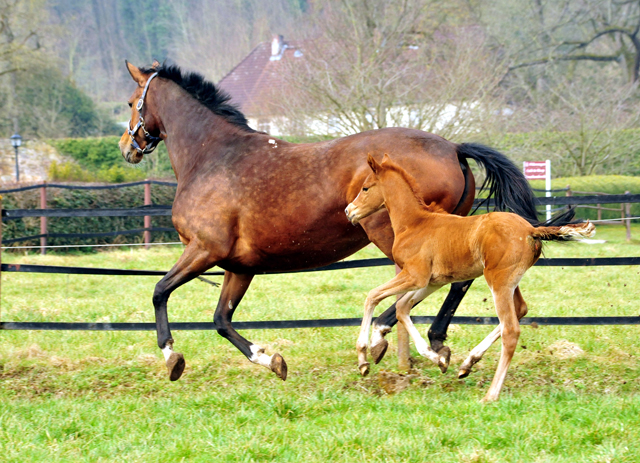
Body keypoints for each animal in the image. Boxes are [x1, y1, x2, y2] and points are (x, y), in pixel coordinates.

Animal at [344, 154, 596, 400]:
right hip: (510, 282)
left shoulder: (415, 276)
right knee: (520, 310)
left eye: (365, 188)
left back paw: (490, 395)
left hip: (498, 281)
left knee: (511, 330)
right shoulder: (433, 281)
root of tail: (530, 230)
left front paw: (363, 359)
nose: (349, 211)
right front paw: (438, 358)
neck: (415, 223)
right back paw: (468, 363)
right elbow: (402, 307)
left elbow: (372, 296)